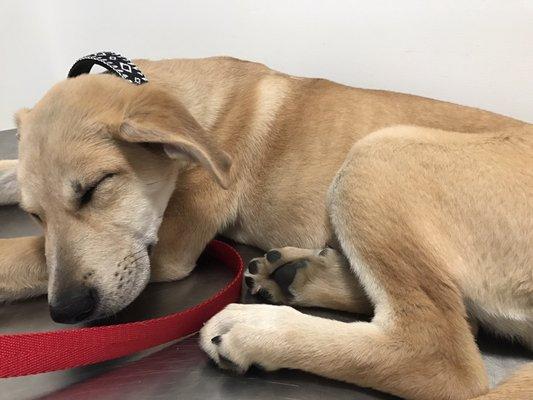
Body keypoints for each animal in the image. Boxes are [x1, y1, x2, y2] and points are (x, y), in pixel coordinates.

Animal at [1, 57, 532, 400]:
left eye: (95, 187)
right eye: (35, 213)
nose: (67, 311)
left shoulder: (167, 250)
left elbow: (24, 255)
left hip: (376, 157)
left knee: (437, 353)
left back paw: (257, 330)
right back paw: (297, 275)